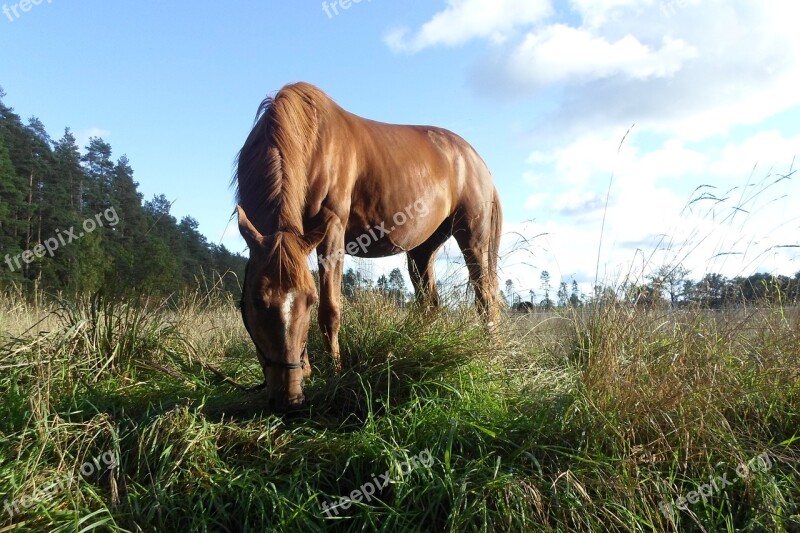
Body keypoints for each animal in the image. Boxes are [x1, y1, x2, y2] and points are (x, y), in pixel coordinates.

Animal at [231, 82, 500, 412]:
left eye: (309, 300)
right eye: (256, 301)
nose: (288, 398)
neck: (308, 136)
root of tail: (476, 159)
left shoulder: (332, 230)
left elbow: (330, 310)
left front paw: (334, 373)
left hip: (473, 239)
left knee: (485, 300)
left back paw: (491, 358)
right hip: (422, 250)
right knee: (430, 304)